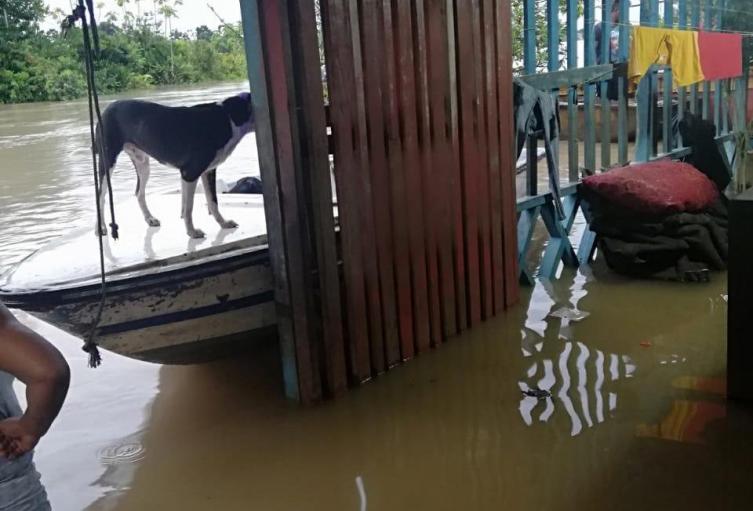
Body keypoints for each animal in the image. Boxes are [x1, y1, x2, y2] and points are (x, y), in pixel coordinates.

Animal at [95, 92, 254, 240]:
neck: (228, 116)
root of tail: (108, 108)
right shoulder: (190, 173)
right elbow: (189, 208)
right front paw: (192, 232)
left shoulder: (208, 171)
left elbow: (212, 201)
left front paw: (224, 224)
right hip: (107, 162)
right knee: (100, 196)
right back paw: (101, 228)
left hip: (142, 164)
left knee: (139, 192)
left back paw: (150, 219)